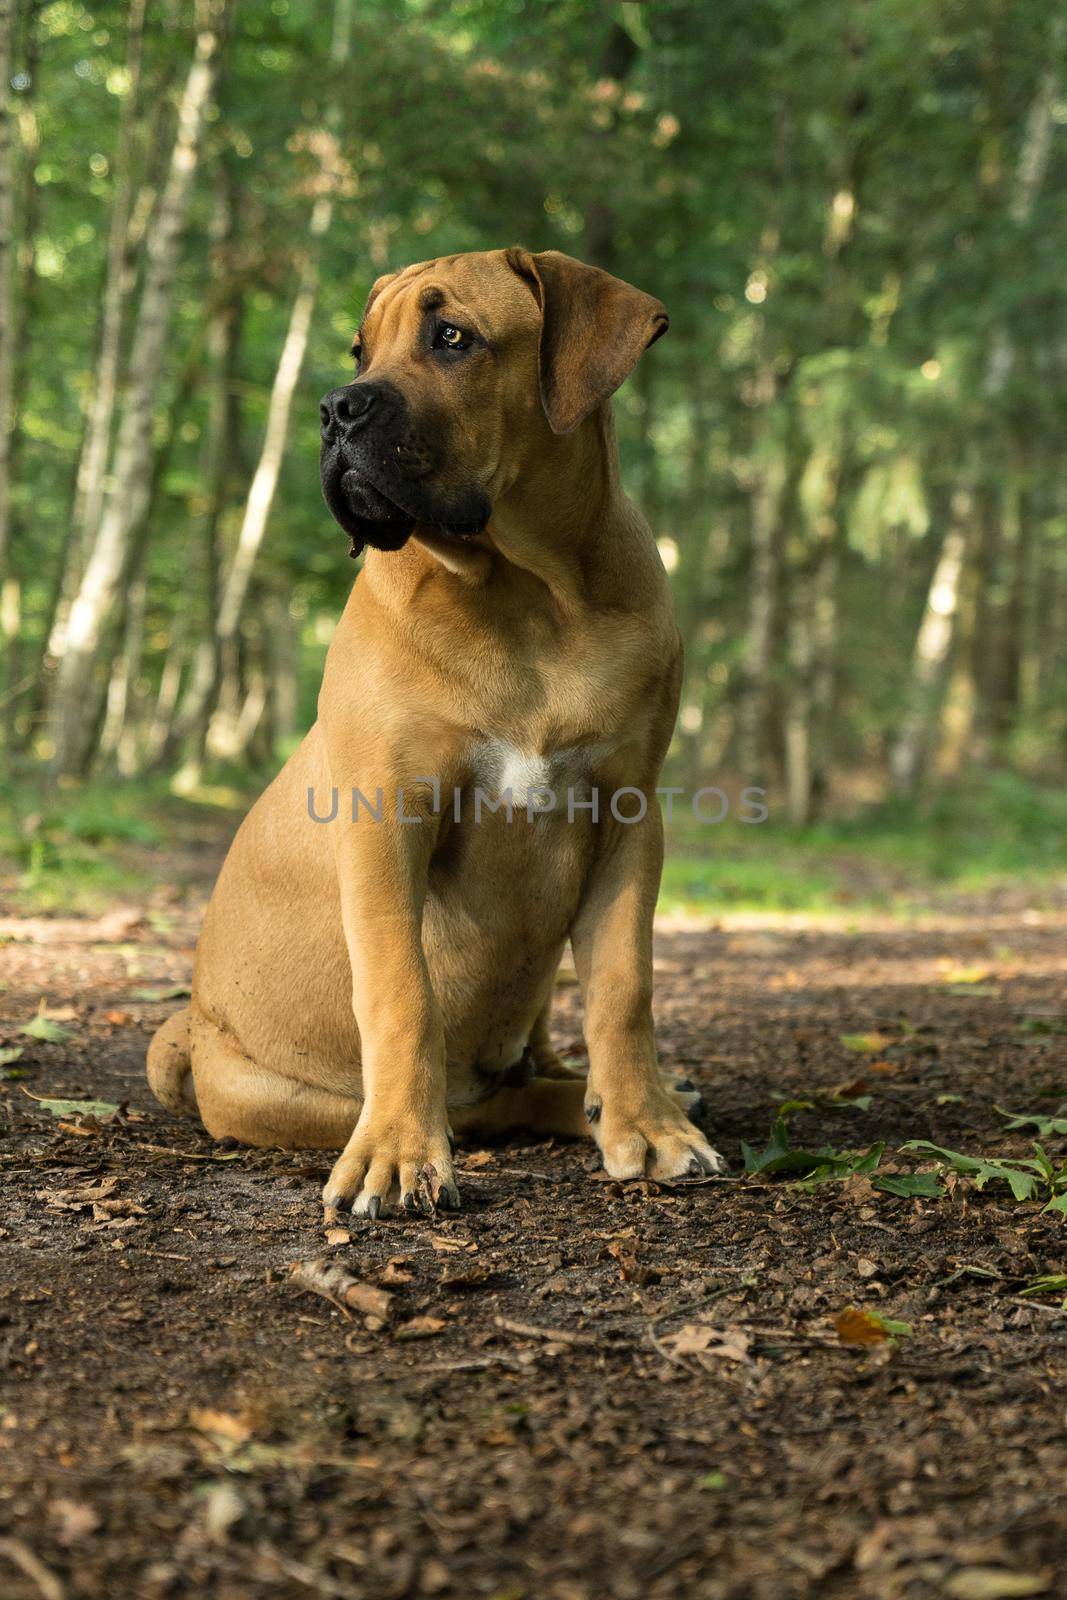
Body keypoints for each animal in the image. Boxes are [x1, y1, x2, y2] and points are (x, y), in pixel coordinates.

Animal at [143, 246, 726, 1209]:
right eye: (359, 348)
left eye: (451, 337)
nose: (334, 408)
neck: (524, 593)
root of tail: (185, 1037)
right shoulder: (387, 819)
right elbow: (399, 992)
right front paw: (397, 1153)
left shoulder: (627, 817)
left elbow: (621, 986)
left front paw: (647, 1125)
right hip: (277, 1091)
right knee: (483, 1105)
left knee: (529, 1068)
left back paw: (615, 1098)